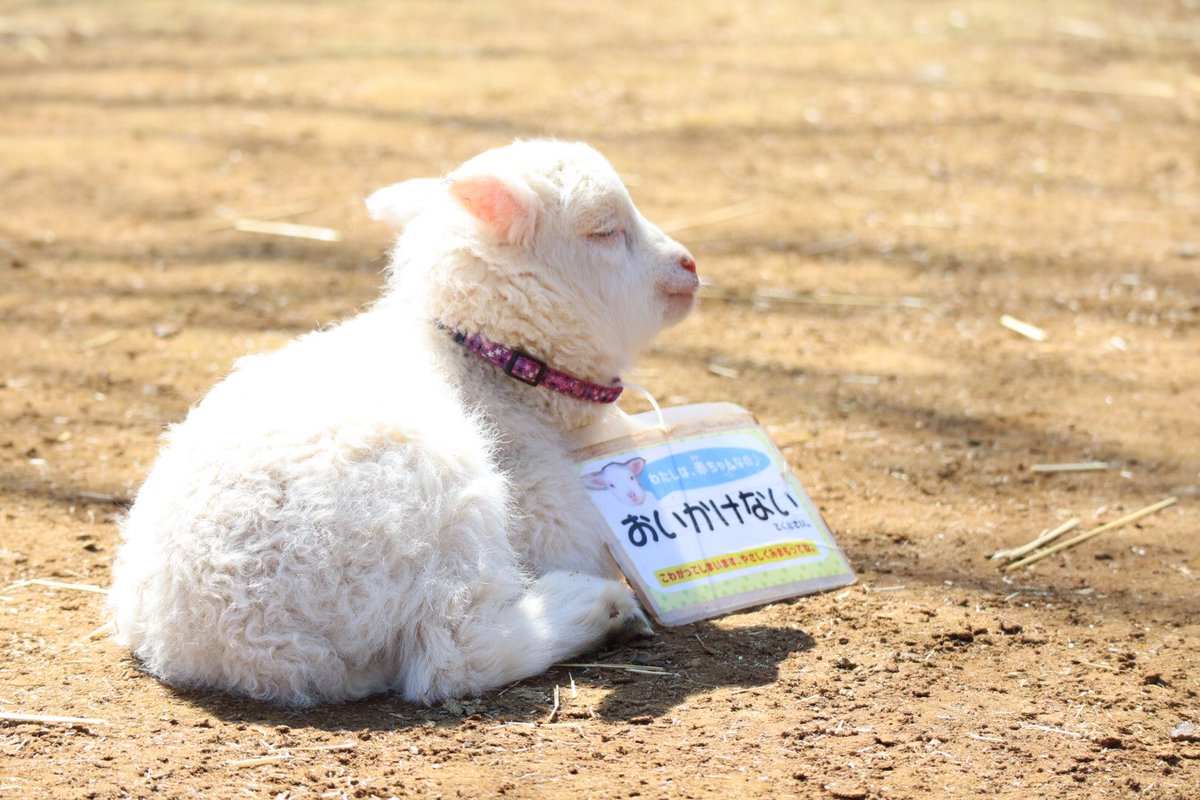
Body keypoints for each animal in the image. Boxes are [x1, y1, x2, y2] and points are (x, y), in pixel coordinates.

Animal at [110, 139, 700, 705]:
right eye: (604, 231)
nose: (690, 265)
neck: (495, 364)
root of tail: (239, 644)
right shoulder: (552, 514)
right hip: (439, 501)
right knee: (453, 656)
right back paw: (595, 607)